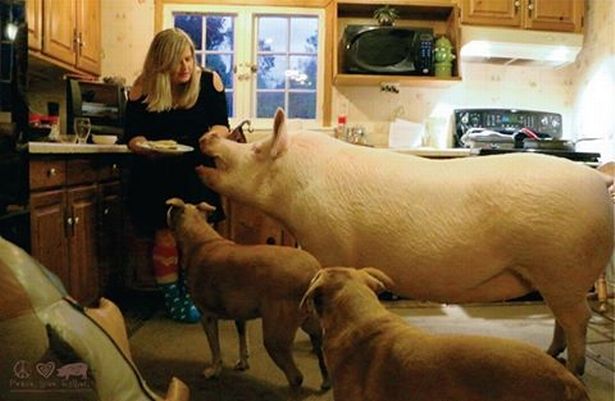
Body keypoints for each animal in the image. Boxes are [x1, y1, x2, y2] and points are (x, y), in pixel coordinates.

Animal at [166, 197, 330, 388]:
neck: (201, 240)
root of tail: (314, 274)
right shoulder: (240, 314)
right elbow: (242, 339)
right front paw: (243, 362)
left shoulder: (207, 317)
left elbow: (215, 348)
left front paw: (214, 370)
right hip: (315, 329)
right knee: (321, 357)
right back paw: (326, 382)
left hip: (275, 336)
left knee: (296, 377)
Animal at [199, 107, 615, 376]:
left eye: (255, 150)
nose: (208, 135)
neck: (297, 182)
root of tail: (598, 180)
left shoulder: (330, 244)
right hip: (556, 277)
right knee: (563, 319)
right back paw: (550, 354)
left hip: (562, 266)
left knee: (578, 319)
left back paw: (574, 370)